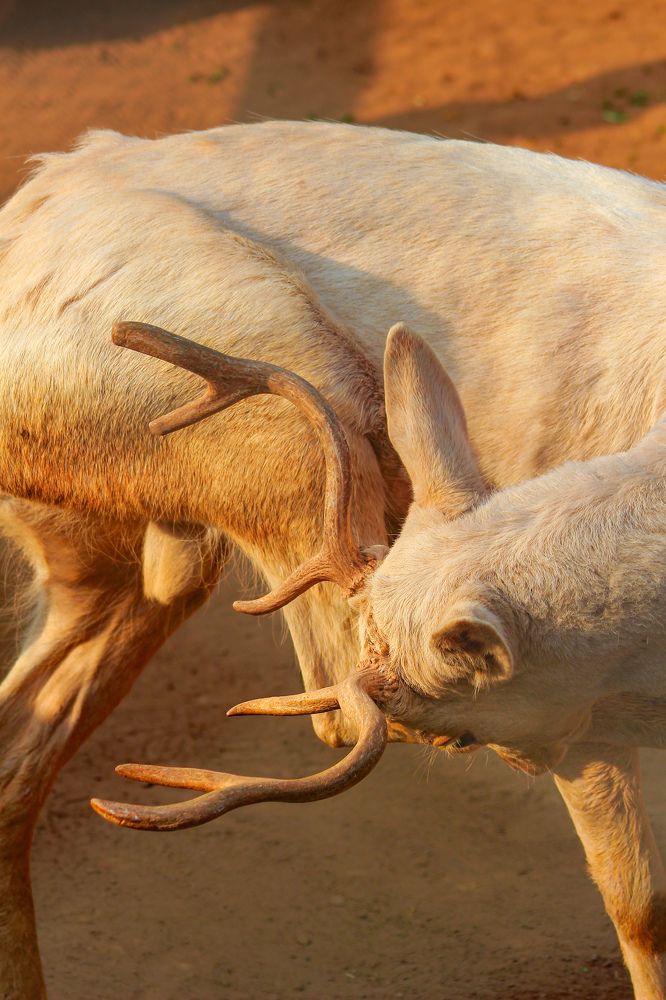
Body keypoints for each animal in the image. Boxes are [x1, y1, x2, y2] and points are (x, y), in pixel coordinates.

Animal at [0, 118, 665, 998]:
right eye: (465, 739)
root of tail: (40, 192)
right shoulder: (573, 708)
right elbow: (640, 907)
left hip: (119, 559)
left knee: (18, 752)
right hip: (287, 409)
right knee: (328, 695)